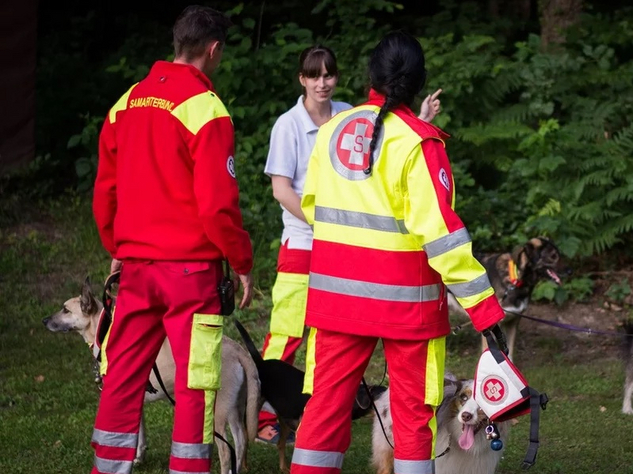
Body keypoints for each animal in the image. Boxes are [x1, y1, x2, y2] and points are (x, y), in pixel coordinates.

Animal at [42, 278, 260, 474]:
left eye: (65, 310)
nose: (44, 321)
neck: (103, 329)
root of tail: (238, 349)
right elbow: (140, 435)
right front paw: (139, 458)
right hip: (234, 410)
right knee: (241, 443)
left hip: (217, 413)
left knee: (226, 450)